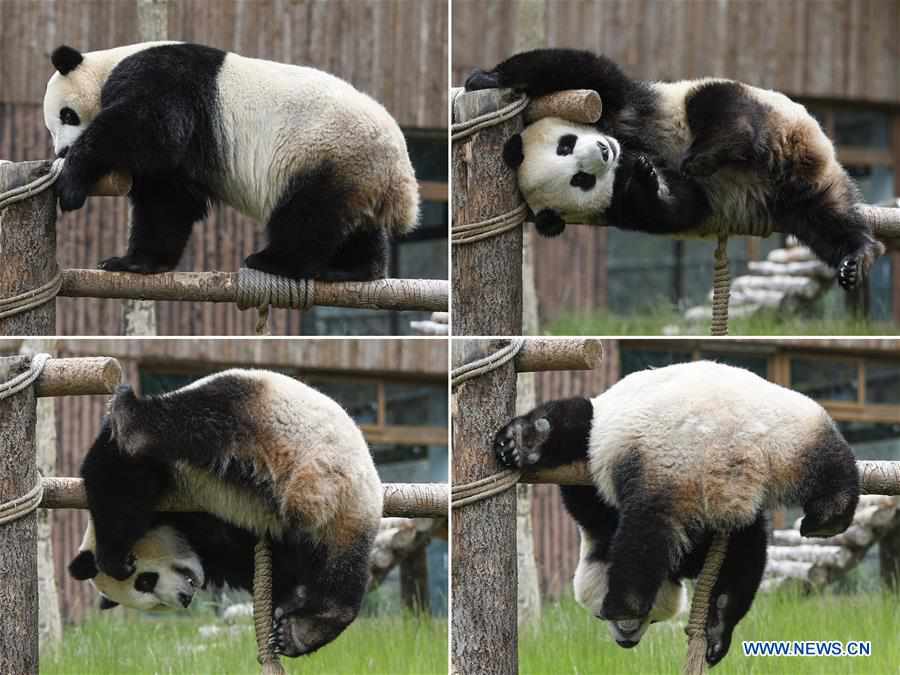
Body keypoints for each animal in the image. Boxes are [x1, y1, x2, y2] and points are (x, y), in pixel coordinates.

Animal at [44, 43, 420, 280]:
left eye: (67, 115)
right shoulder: (180, 160)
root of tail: (399, 171)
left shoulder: (164, 79)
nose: (61, 152)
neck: (108, 66)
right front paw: (135, 262)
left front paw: (71, 184)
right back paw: (354, 270)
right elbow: (167, 201)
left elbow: (149, 127)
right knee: (356, 226)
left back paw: (272, 261)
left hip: (325, 153)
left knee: (309, 216)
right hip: (357, 172)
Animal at [67, 370, 384, 660]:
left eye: (145, 581)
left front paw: (113, 560)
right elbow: (254, 559)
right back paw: (305, 630)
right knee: (341, 563)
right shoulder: (213, 527)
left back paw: (129, 416)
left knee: (194, 417)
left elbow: (116, 479)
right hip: (338, 509)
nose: (183, 599)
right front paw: (287, 595)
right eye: (155, 604)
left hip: (274, 421)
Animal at [468, 47, 884, 290]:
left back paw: (710, 152)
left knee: (719, 106)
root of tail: (796, 147)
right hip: (793, 193)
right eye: (580, 180)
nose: (603, 151)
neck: (626, 149)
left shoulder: (619, 108)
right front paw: (649, 179)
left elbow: (584, 71)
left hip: (763, 109)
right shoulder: (619, 206)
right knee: (825, 218)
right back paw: (853, 256)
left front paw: (485, 78)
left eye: (566, 144)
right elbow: (680, 205)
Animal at [496, 362, 860, 668]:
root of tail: (729, 446)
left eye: (654, 621)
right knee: (825, 468)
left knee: (645, 524)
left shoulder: (602, 512)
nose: (627, 639)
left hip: (661, 464)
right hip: (791, 435)